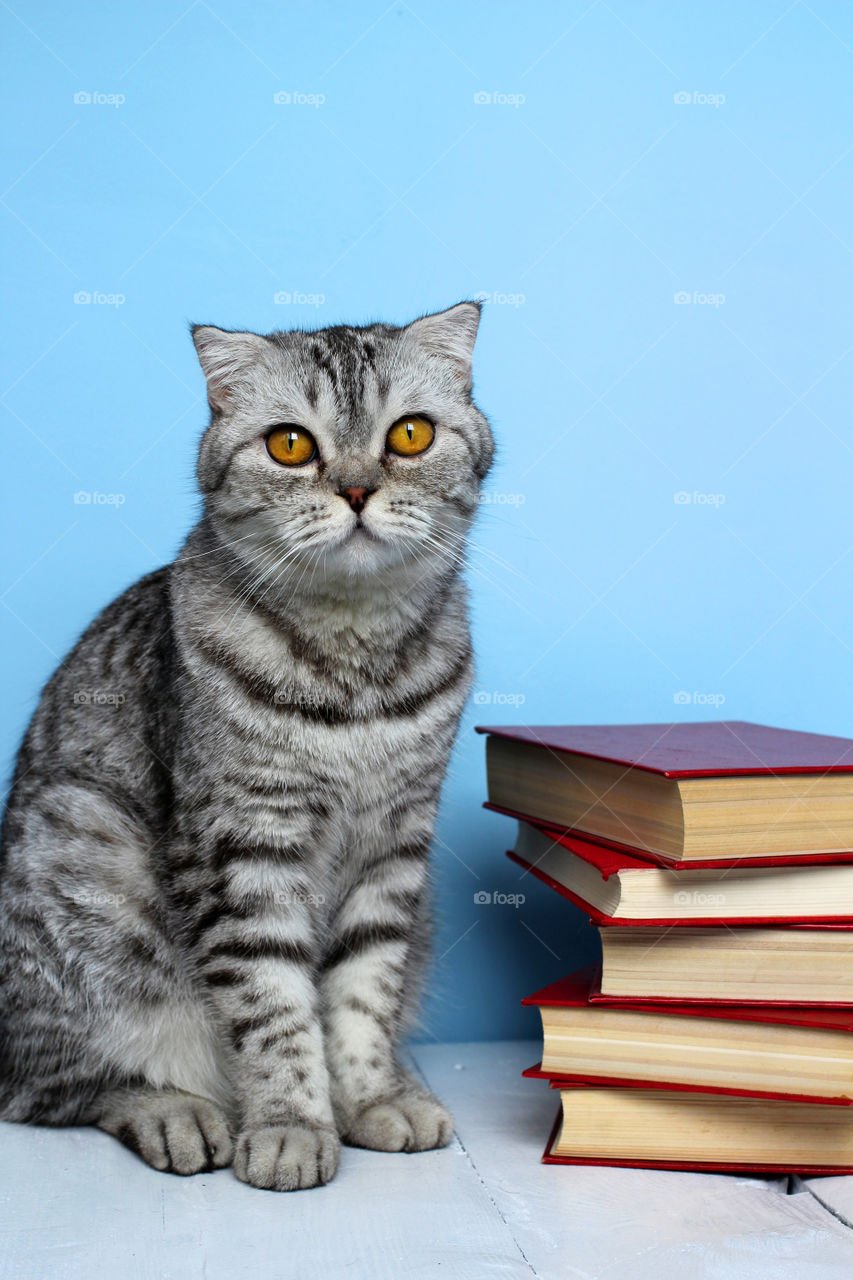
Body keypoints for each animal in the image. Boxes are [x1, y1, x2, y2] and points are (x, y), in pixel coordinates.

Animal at [0, 299, 491, 1187]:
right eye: (290, 445)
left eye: (409, 435)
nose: (357, 488)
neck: (353, 668)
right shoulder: (241, 844)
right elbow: (272, 1004)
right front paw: (291, 1123)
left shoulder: (395, 847)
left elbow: (362, 990)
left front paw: (368, 1098)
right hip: (83, 846)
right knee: (53, 1088)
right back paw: (177, 1113)